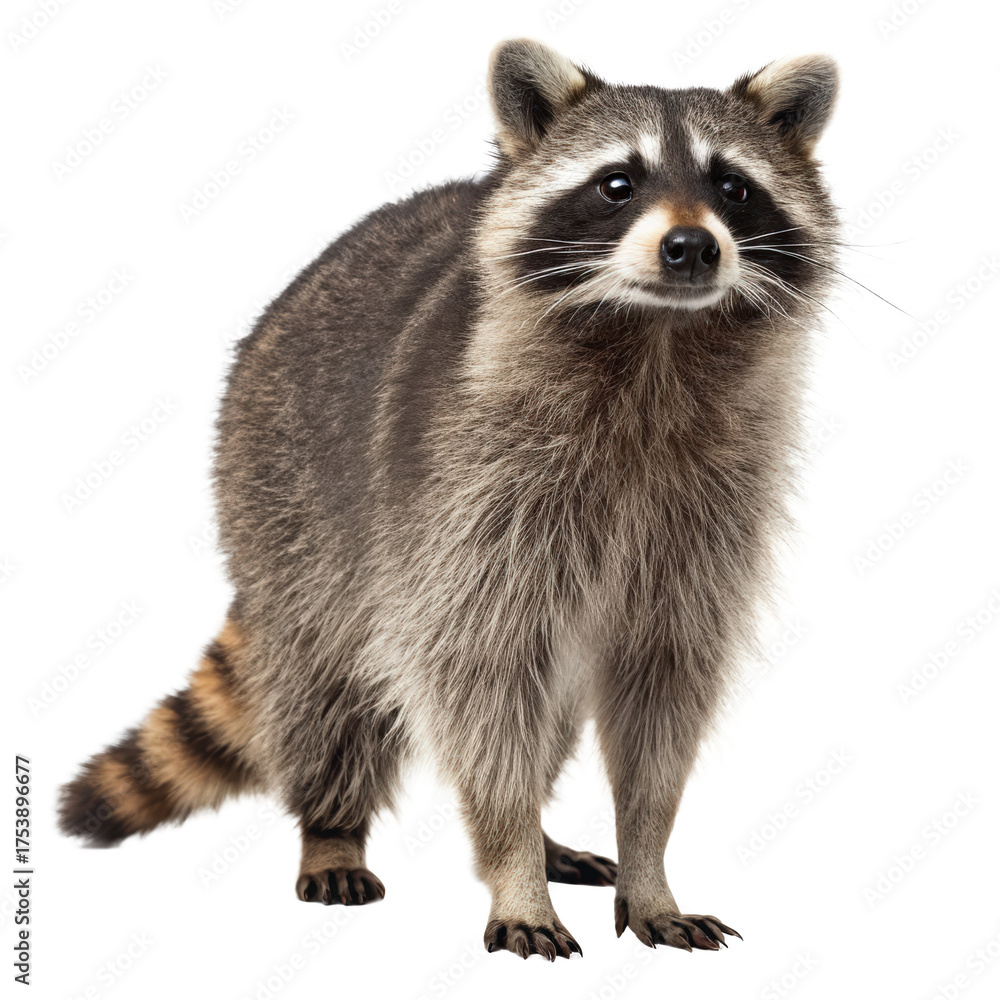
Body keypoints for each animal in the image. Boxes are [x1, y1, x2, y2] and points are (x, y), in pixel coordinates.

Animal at [60, 40, 839, 960]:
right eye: (618, 183)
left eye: (733, 187)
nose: (691, 248)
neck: (656, 341)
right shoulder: (465, 498)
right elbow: (479, 678)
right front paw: (512, 865)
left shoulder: (708, 514)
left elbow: (663, 686)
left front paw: (646, 859)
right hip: (283, 493)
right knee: (330, 686)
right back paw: (335, 826)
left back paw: (543, 833)